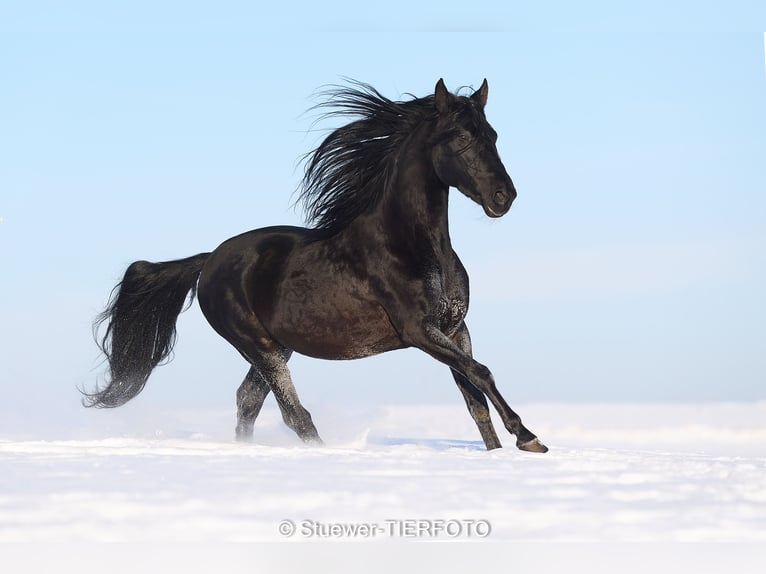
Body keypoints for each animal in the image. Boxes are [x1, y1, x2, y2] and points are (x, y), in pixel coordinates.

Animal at [87, 77, 548, 454]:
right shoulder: (419, 331)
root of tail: (208, 261)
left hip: (275, 347)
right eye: (459, 137)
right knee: (293, 413)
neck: (413, 245)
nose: (504, 197)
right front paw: (528, 438)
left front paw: (499, 454)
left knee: (248, 401)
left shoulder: (455, 328)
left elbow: (474, 397)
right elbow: (482, 373)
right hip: (258, 345)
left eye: (492, 134)